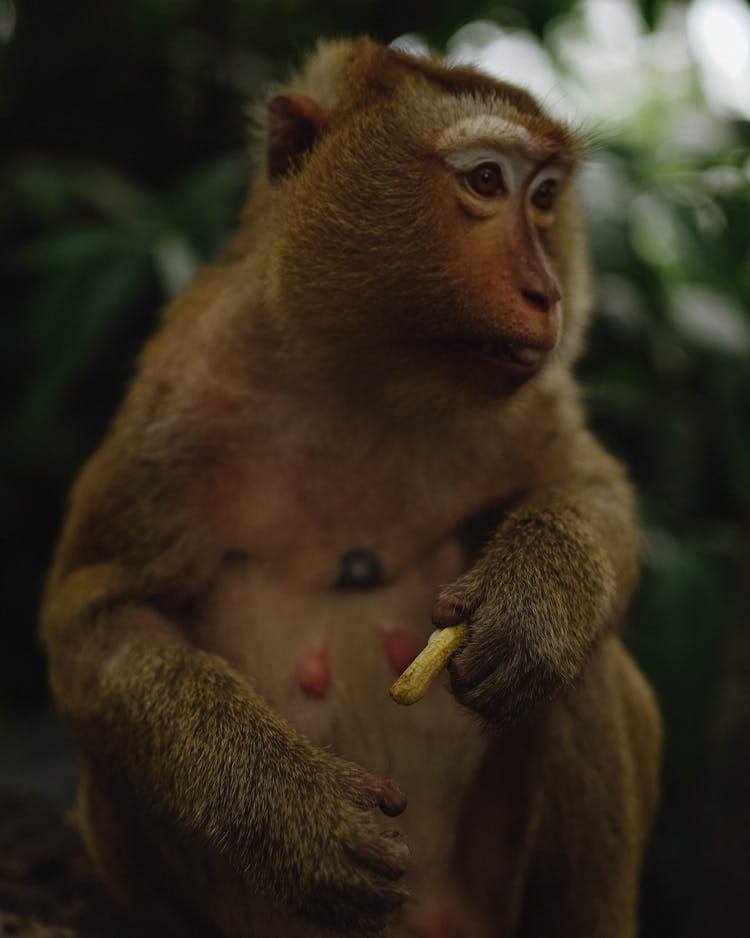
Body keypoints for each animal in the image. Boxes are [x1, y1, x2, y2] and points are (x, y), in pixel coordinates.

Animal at [41, 36, 664, 936]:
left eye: (545, 196)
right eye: (486, 180)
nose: (548, 293)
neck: (369, 372)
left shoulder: (531, 397)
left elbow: (587, 485)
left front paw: (535, 604)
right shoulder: (184, 393)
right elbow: (102, 614)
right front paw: (289, 813)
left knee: (580, 671)